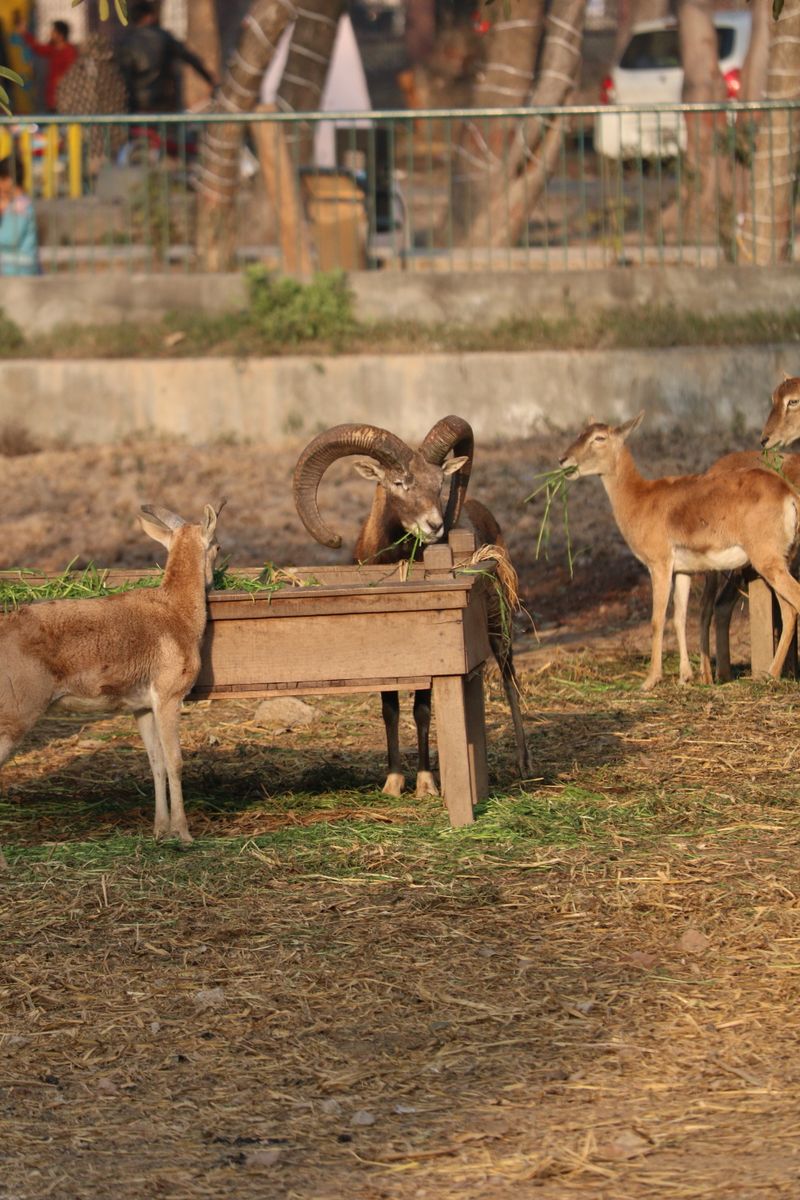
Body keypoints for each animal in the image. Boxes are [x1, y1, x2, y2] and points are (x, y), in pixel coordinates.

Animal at [0, 504, 218, 866]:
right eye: (216, 545)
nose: (213, 580)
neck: (175, 613)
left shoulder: (143, 707)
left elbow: (156, 763)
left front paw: (160, 832)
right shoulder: (169, 698)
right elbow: (175, 762)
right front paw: (184, 835)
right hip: (16, 717)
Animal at [293, 418, 531, 797]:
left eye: (440, 483)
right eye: (399, 483)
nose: (435, 525)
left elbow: (421, 710)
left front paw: (425, 783)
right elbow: (390, 709)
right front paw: (392, 782)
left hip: (500, 626)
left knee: (510, 680)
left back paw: (524, 764)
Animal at [559, 412, 800, 690]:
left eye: (599, 438)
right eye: (580, 433)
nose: (563, 460)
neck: (640, 499)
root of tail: (789, 495)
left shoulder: (659, 565)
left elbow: (657, 620)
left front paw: (650, 681)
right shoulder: (683, 571)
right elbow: (680, 617)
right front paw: (685, 677)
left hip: (767, 562)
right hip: (779, 561)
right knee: (789, 610)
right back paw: (770, 674)